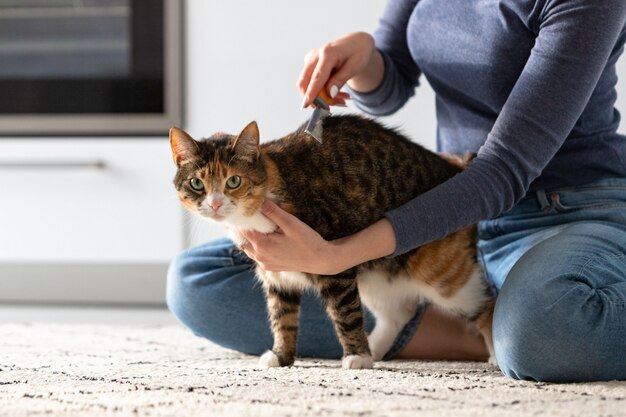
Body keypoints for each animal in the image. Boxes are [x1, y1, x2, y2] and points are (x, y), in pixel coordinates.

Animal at [169, 114, 492, 368]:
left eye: (233, 181)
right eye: (196, 183)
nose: (214, 204)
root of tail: (454, 168)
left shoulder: (333, 264)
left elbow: (346, 313)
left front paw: (356, 357)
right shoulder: (275, 274)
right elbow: (282, 316)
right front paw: (281, 356)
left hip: (444, 274)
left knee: (484, 303)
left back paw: (492, 355)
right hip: (376, 275)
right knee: (398, 312)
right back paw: (376, 349)